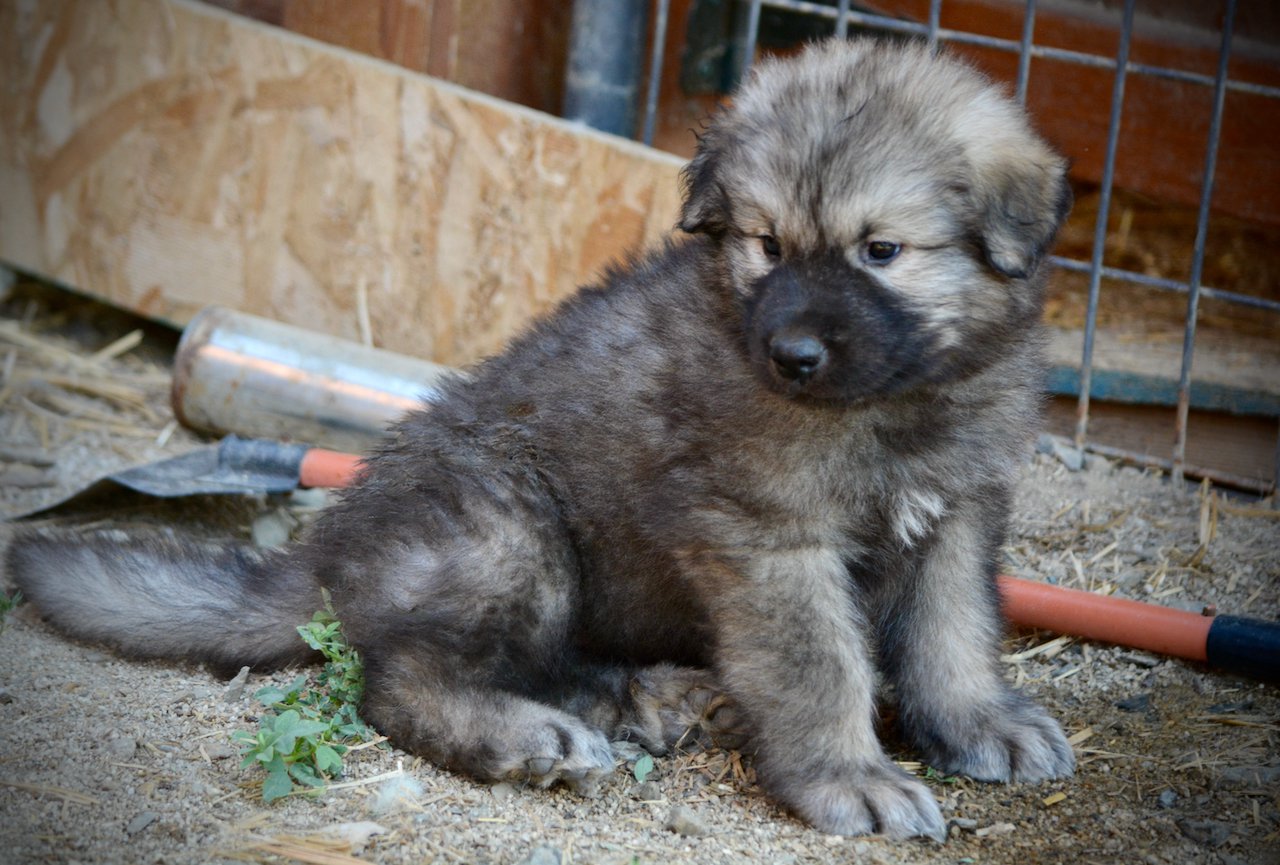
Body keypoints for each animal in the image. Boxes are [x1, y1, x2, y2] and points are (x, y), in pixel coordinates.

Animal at [10, 38, 1075, 839]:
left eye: (880, 250)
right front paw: (850, 775)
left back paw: (658, 699)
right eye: (767, 244)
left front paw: (981, 722)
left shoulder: (959, 511)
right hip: (508, 527)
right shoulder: (770, 538)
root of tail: (327, 558)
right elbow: (821, 669)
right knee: (400, 679)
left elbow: (953, 634)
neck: (896, 404)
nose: (793, 353)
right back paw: (530, 738)